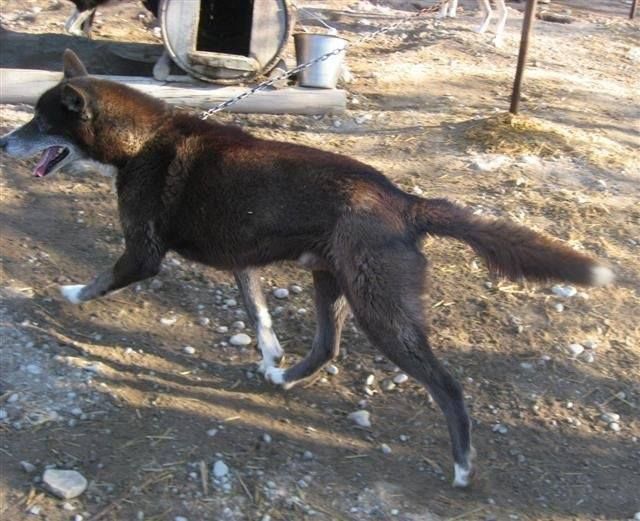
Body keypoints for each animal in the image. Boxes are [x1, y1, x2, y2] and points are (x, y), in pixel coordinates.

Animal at [0, 49, 614, 488]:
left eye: (39, 121)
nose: (5, 142)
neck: (142, 141)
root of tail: (404, 202)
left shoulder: (142, 254)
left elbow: (100, 281)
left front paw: (65, 294)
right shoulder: (242, 263)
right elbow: (260, 317)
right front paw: (270, 355)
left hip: (380, 311)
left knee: (448, 385)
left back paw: (462, 465)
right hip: (331, 284)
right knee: (327, 348)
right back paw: (284, 377)